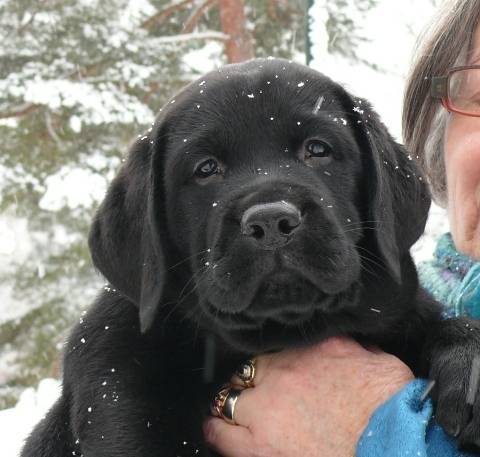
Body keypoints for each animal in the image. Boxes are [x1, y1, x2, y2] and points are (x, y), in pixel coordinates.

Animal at [20, 58, 480, 454]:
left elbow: (442, 323)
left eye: (317, 149)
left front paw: (469, 363)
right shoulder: (121, 391)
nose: (271, 221)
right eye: (206, 169)